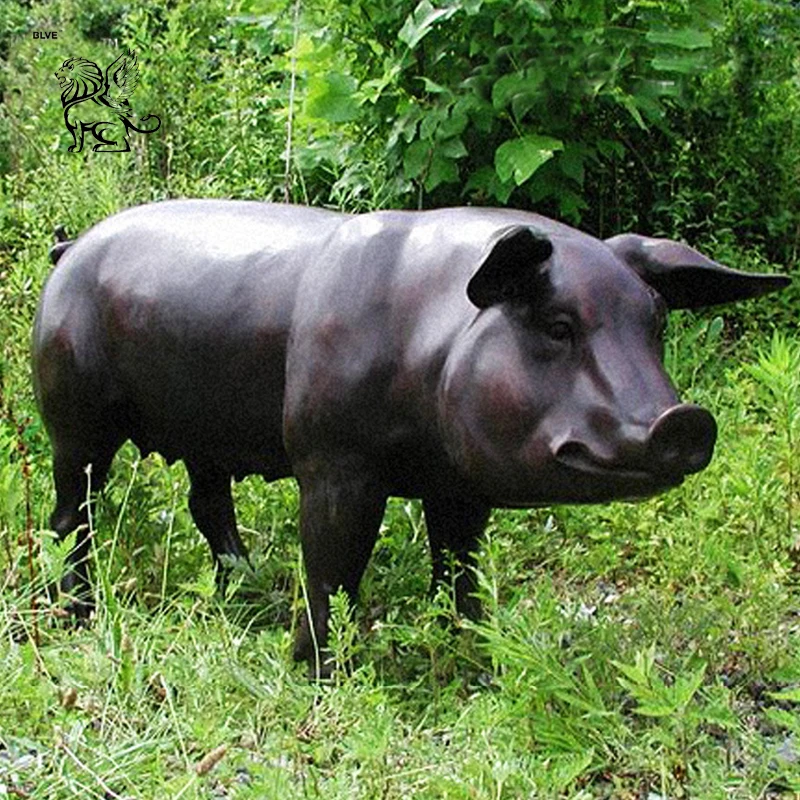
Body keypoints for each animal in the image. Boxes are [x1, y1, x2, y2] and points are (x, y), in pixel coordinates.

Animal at [32, 201, 789, 673]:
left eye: (656, 324)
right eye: (557, 325)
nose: (682, 419)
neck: (431, 340)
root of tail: (68, 248)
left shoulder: (459, 485)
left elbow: (460, 567)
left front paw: (476, 652)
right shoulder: (332, 462)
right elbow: (332, 567)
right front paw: (319, 674)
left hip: (204, 432)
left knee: (207, 501)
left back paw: (248, 590)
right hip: (71, 408)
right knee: (73, 510)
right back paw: (74, 611)